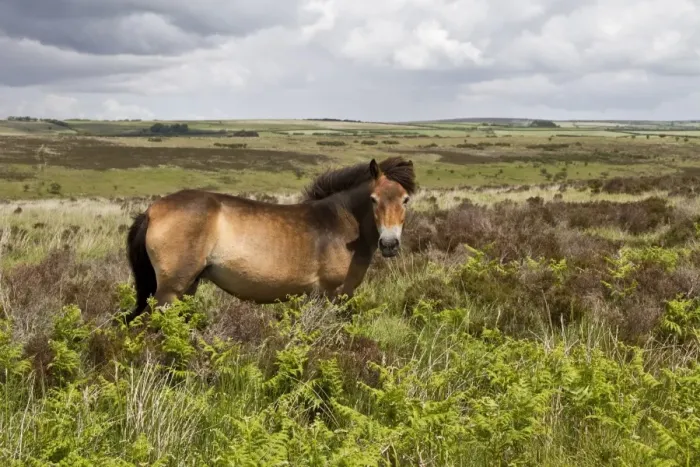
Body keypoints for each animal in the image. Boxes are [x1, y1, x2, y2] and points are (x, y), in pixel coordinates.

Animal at [123, 156, 417, 323]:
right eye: (373, 199)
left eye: (405, 199)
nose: (389, 244)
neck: (339, 223)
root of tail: (151, 211)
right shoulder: (332, 295)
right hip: (169, 293)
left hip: (184, 289)